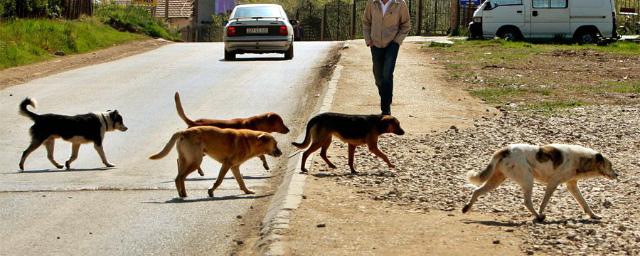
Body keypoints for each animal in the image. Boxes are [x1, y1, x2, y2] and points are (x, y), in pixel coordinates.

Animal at [150, 126, 282, 198]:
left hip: (184, 161)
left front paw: (247, 191)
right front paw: (211, 191)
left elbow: (241, 182)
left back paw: (182, 194)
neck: (250, 140)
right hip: (196, 162)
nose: (281, 153)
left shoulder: (234, 167)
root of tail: (183, 132)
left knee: (178, 177)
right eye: (275, 144)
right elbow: (219, 180)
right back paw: (183, 195)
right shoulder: (227, 165)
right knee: (180, 177)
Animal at [462, 144, 616, 222]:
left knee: (477, 191)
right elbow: (544, 202)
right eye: (610, 166)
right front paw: (541, 212)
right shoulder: (553, 183)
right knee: (527, 202)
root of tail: (506, 149)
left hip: (497, 180)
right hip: (528, 180)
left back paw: (466, 207)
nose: (617, 175)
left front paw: (593, 215)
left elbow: (584, 203)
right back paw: (538, 216)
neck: (582, 159)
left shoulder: (571, 185)